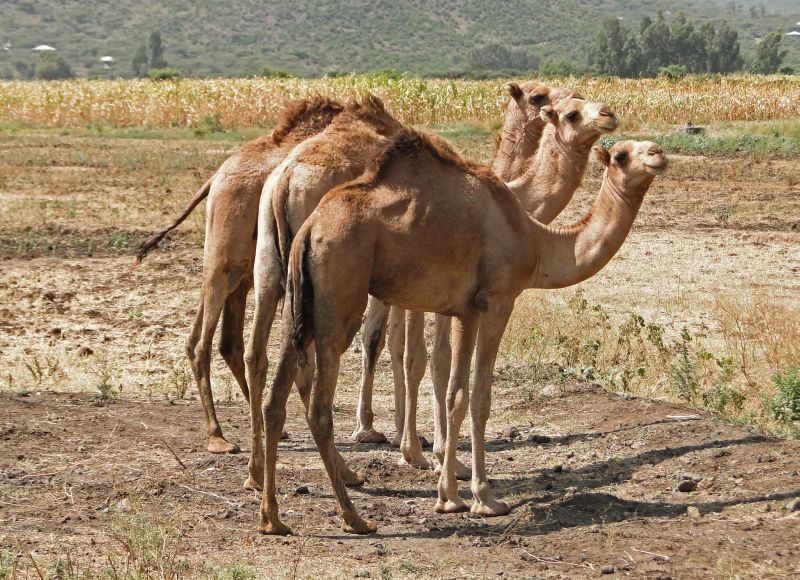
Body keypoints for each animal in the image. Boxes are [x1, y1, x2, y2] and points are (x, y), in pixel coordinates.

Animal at [135, 97, 346, 456]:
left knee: (228, 340)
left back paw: (268, 428)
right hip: (226, 253)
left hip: (241, 268)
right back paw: (218, 437)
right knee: (200, 342)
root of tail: (216, 177)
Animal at [260, 135, 664, 536]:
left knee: (275, 397)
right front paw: (483, 499)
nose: (658, 154)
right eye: (621, 155)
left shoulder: (465, 310)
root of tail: (311, 228)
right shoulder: (497, 300)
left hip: (298, 302)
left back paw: (272, 518)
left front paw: (450, 495)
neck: (535, 240)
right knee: (318, 406)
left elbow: (455, 394)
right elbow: (480, 397)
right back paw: (354, 517)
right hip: (339, 291)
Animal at [350, 92, 620, 476]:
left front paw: (424, 448)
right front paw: (426, 454)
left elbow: (422, 355)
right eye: (570, 113)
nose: (609, 115)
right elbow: (420, 358)